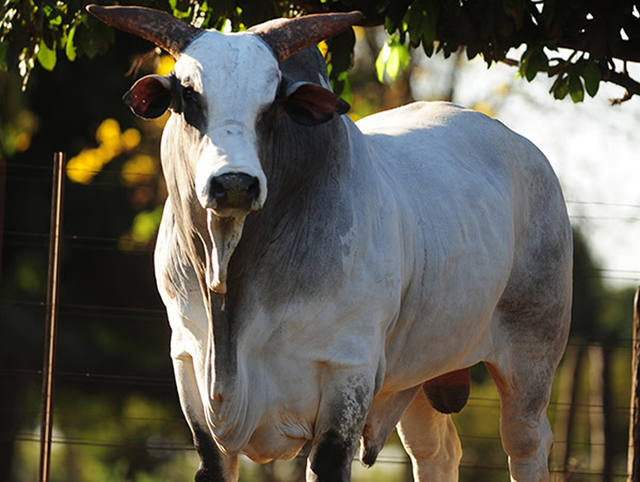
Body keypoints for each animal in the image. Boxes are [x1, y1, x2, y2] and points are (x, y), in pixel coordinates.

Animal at [89, 4, 568, 482]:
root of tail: (527, 151)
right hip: (417, 375)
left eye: (272, 103)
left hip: (532, 357)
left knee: (526, 444)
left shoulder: (347, 378)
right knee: (437, 452)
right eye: (188, 96)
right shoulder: (191, 373)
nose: (235, 183)